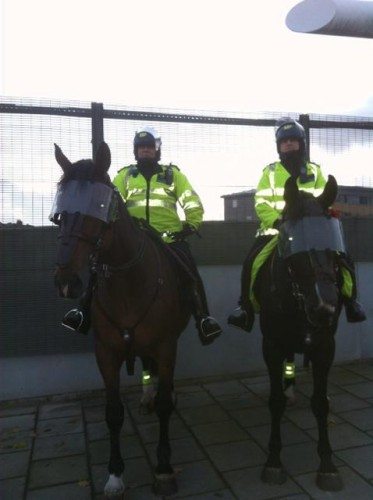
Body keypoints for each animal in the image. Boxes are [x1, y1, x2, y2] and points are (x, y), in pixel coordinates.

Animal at [50, 142, 190, 496]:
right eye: (59, 212)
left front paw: (164, 469)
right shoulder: (106, 353)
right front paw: (115, 475)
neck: (129, 282)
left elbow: (166, 405)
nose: (67, 282)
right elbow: (113, 412)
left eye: (100, 206)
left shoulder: (166, 346)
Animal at [254, 175, 344, 492]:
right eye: (292, 241)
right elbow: (275, 402)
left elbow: (321, 403)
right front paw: (273, 461)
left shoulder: (325, 347)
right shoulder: (271, 346)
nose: (325, 308)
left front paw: (327, 465)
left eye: (332, 242)